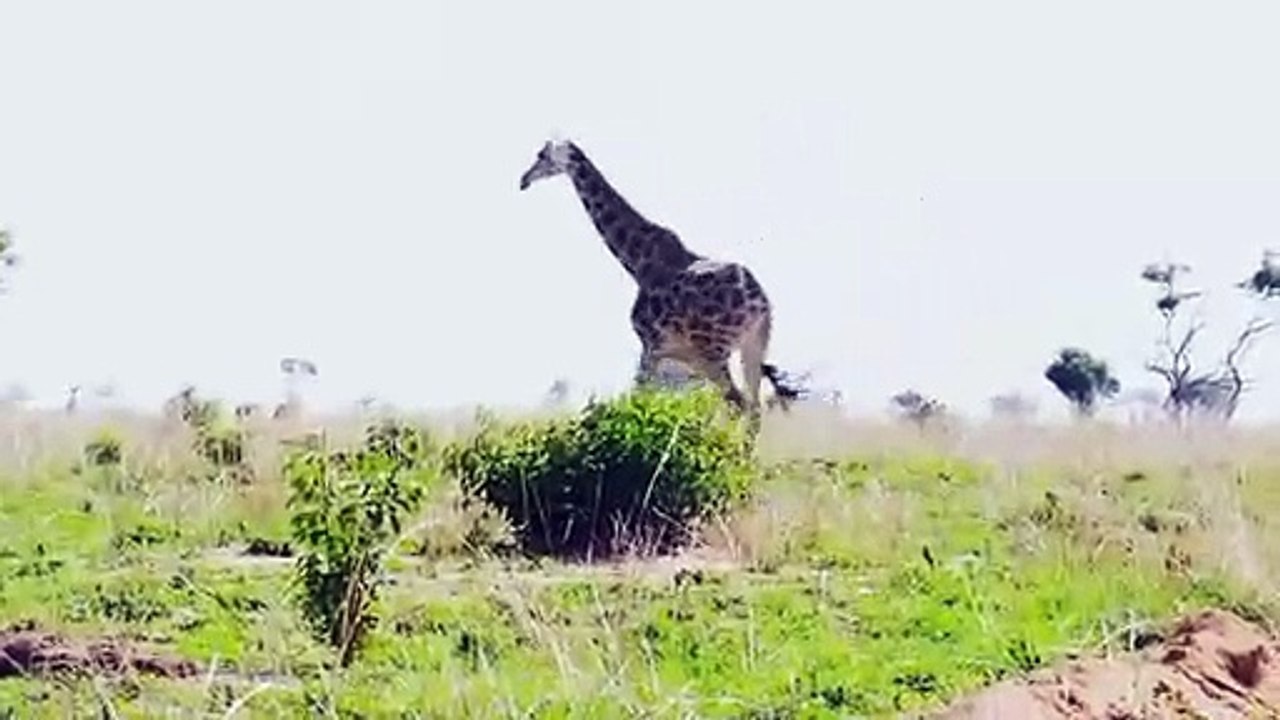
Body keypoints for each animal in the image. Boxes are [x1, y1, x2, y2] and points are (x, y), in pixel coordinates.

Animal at [518, 138, 803, 423]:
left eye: (541, 156)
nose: (524, 179)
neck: (638, 262)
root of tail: (756, 299)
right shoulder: (676, 357)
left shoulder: (651, 345)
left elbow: (640, 397)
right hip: (755, 342)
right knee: (752, 409)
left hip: (714, 350)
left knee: (739, 403)